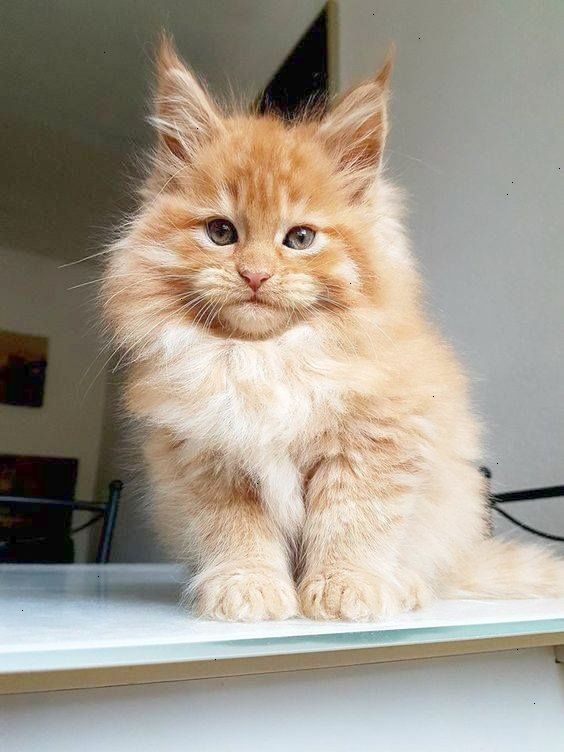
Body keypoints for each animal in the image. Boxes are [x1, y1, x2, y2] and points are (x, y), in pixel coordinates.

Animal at [102, 38, 564, 620]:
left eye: (300, 238)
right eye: (221, 232)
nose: (255, 274)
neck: (264, 361)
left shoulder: (376, 443)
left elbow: (353, 524)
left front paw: (346, 588)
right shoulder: (207, 460)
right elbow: (236, 535)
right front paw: (248, 589)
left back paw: (404, 586)